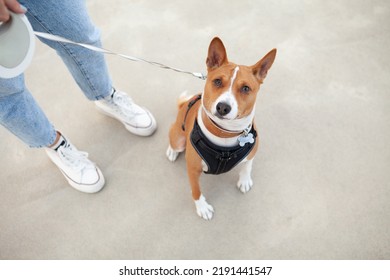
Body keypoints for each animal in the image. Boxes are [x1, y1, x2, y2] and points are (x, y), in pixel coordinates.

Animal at [166, 37, 276, 221]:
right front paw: (202, 207)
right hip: (178, 139)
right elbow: (196, 191)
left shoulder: (252, 151)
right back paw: (171, 151)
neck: (224, 132)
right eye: (217, 81)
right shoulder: (192, 169)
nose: (223, 107)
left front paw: (244, 180)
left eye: (245, 88)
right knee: (173, 139)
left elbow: (248, 165)